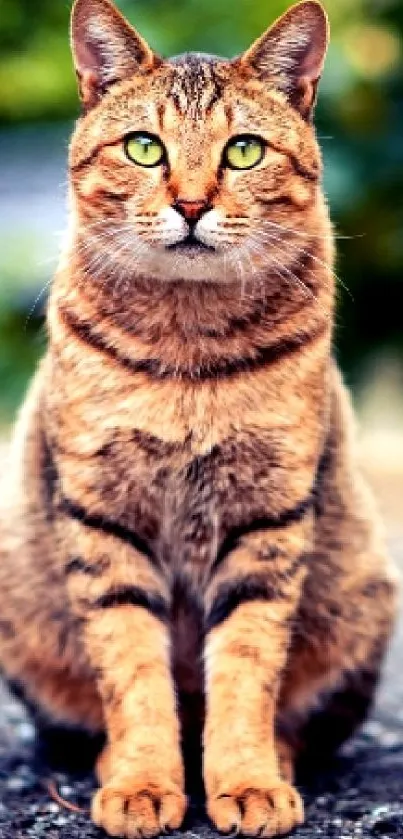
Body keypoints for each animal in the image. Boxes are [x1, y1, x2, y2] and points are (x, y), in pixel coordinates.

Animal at [0, 0, 400, 836]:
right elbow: (133, 672)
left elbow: (245, 672)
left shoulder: (267, 516)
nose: (189, 204)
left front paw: (245, 781)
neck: (188, 347)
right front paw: (142, 781)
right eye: (143, 147)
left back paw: (271, 760)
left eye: (242, 151)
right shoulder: (102, 516)